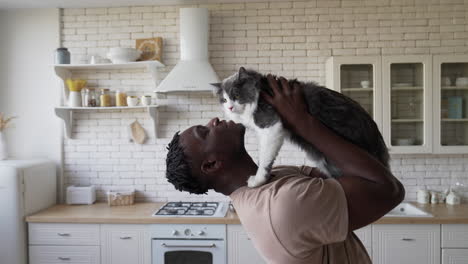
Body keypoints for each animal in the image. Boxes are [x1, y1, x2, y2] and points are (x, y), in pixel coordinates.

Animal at [210, 67, 390, 188]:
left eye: (235, 95)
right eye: (224, 100)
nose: (230, 108)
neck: (259, 92)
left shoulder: (271, 126)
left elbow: (264, 159)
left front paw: (258, 180)